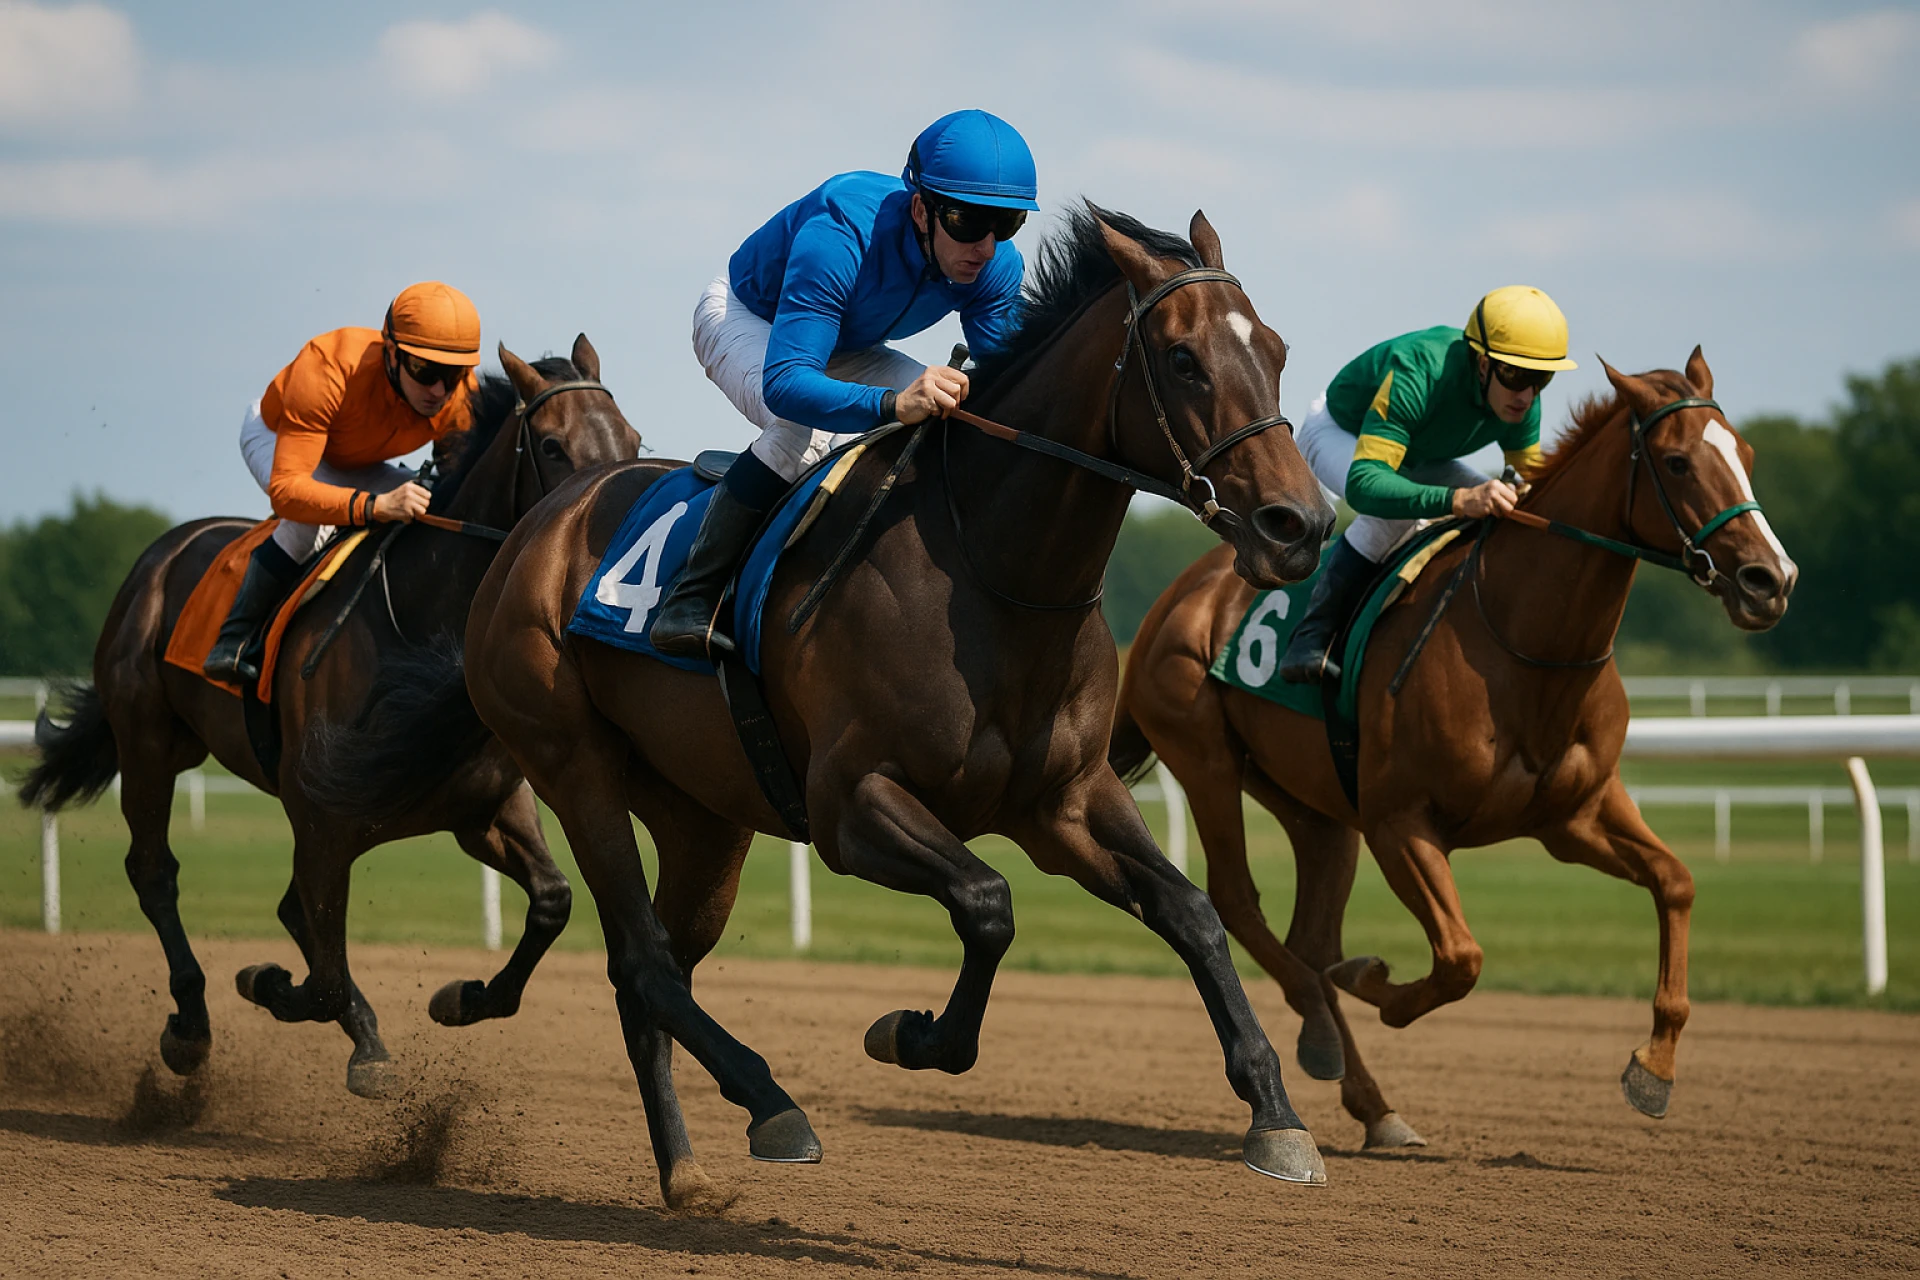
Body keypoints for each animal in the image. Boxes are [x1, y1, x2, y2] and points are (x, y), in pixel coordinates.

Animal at [20, 336, 640, 1097]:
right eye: (552, 446)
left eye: (632, 438)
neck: (419, 631)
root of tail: (163, 554)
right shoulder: (320, 819)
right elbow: (320, 974)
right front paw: (277, 991)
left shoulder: (485, 809)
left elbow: (552, 901)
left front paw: (461, 997)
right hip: (147, 742)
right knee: (154, 870)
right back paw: (191, 1025)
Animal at [310, 205, 1338, 1207]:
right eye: (1183, 358)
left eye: (1279, 348)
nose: (1300, 525)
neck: (989, 572)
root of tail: (532, 529)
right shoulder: (851, 805)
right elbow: (989, 903)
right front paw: (910, 1033)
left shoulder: (1066, 801)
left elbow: (1190, 911)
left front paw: (1278, 1115)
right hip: (573, 763)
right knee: (643, 959)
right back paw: (770, 1104)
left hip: (702, 815)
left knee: (653, 972)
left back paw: (684, 1167)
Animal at [1109, 349, 1796, 1146]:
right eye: (1679, 462)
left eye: (1746, 454)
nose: (1770, 579)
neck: (1521, 641)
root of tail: (1174, 599)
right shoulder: (1400, 822)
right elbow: (1461, 958)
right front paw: (1375, 983)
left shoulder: (1574, 816)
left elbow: (1676, 881)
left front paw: (1653, 1067)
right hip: (1207, 759)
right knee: (1238, 903)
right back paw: (1322, 1025)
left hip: (1316, 807)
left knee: (1308, 936)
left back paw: (1370, 1098)